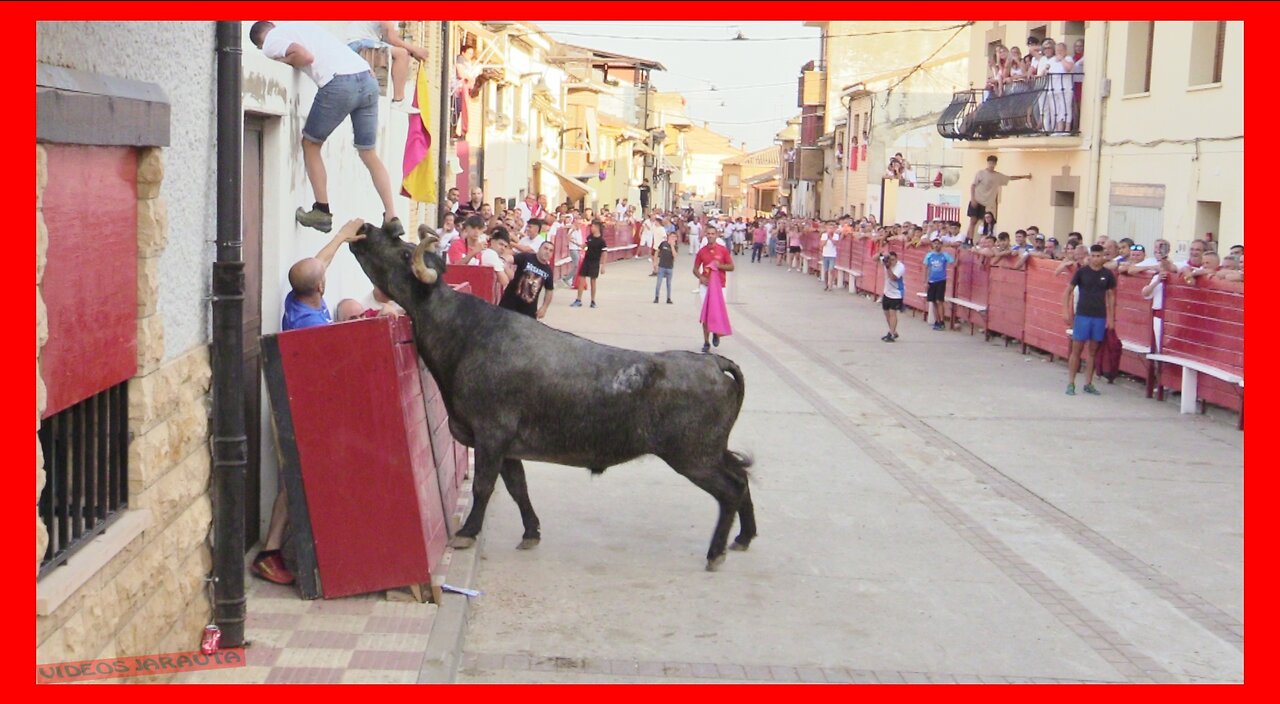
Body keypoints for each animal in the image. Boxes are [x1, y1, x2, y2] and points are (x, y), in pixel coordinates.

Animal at [345, 224, 752, 570]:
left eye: (403, 252)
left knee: (730, 489)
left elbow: (483, 486)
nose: (365, 228)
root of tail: (713, 363)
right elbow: (518, 488)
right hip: (711, 451)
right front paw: (531, 532)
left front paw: (466, 533)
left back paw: (716, 552)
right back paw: (743, 538)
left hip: (693, 456)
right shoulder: (507, 446)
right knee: (741, 476)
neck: (465, 333)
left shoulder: (491, 434)